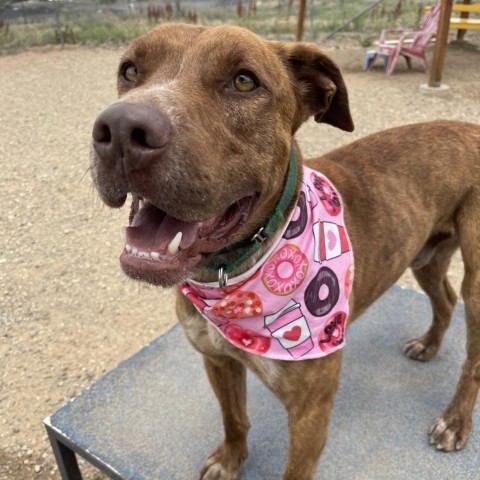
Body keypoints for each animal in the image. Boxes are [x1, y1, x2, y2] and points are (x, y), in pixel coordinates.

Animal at [90, 22, 480, 480]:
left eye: (244, 81)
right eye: (130, 70)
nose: (120, 129)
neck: (231, 276)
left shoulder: (310, 410)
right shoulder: (218, 361)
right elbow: (233, 417)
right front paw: (230, 458)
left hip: (477, 285)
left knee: (472, 355)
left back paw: (454, 421)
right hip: (425, 254)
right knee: (445, 298)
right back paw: (430, 344)